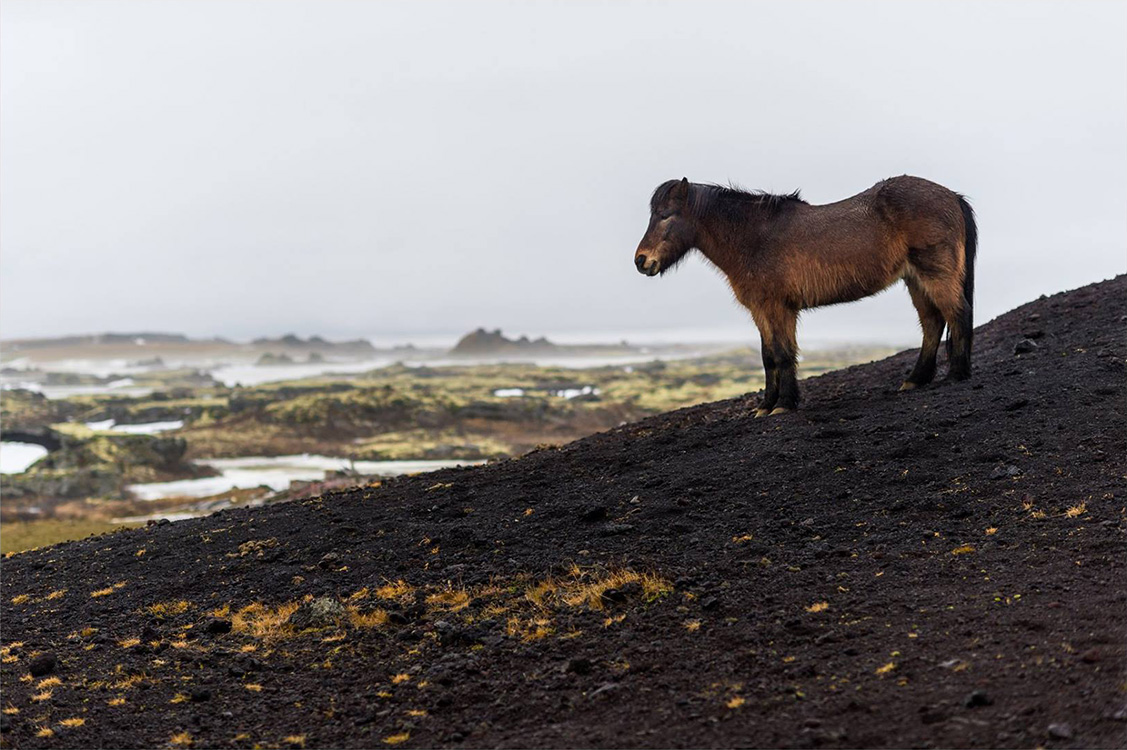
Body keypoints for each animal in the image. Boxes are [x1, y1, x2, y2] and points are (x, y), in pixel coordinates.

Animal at [635, 175, 978, 415]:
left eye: (666, 215)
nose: (641, 261)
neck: (753, 237)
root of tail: (953, 196)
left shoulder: (778, 308)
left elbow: (783, 354)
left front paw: (783, 404)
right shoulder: (761, 309)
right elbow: (768, 356)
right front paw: (766, 405)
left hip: (935, 275)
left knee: (957, 314)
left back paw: (956, 375)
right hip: (915, 279)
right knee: (933, 323)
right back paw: (916, 379)